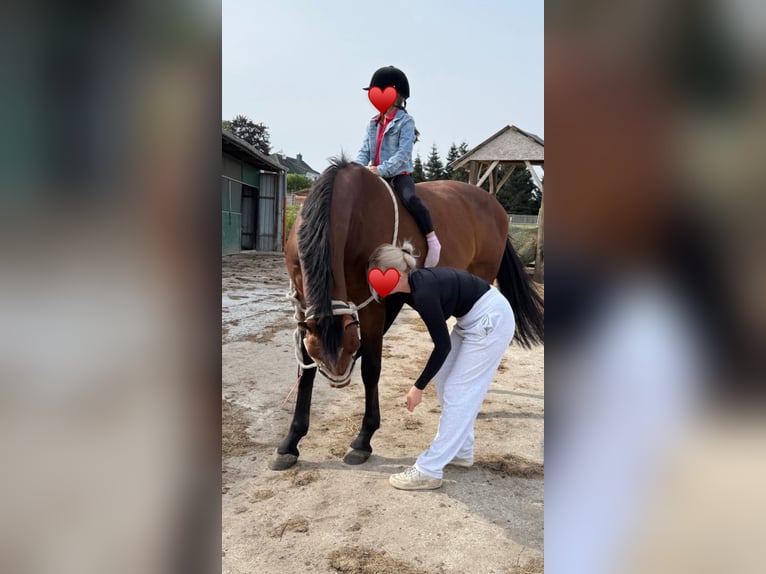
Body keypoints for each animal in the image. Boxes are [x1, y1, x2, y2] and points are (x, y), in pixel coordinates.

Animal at [270, 157, 543, 470]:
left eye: (350, 347)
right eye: (318, 353)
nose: (340, 381)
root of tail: (494, 204)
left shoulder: (373, 304)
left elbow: (371, 367)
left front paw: (363, 440)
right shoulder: (304, 306)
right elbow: (305, 371)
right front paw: (290, 442)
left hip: (482, 277)